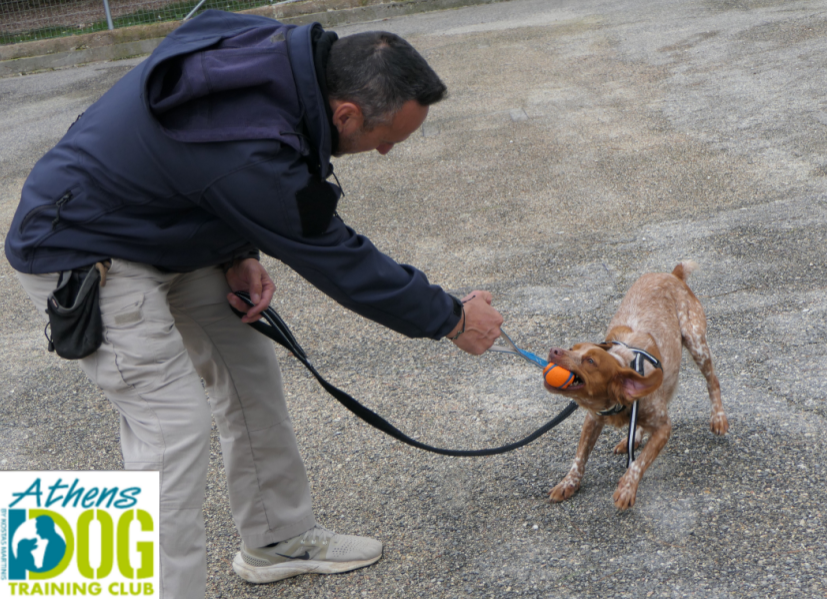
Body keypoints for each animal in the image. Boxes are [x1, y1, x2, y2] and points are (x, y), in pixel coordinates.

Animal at [548, 262, 728, 510]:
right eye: (572, 348)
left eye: (591, 361)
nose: (553, 350)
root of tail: (672, 275)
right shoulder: (593, 418)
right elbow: (579, 457)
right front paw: (569, 482)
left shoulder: (664, 428)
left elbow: (638, 463)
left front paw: (627, 487)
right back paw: (633, 438)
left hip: (696, 343)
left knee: (713, 382)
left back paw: (718, 417)